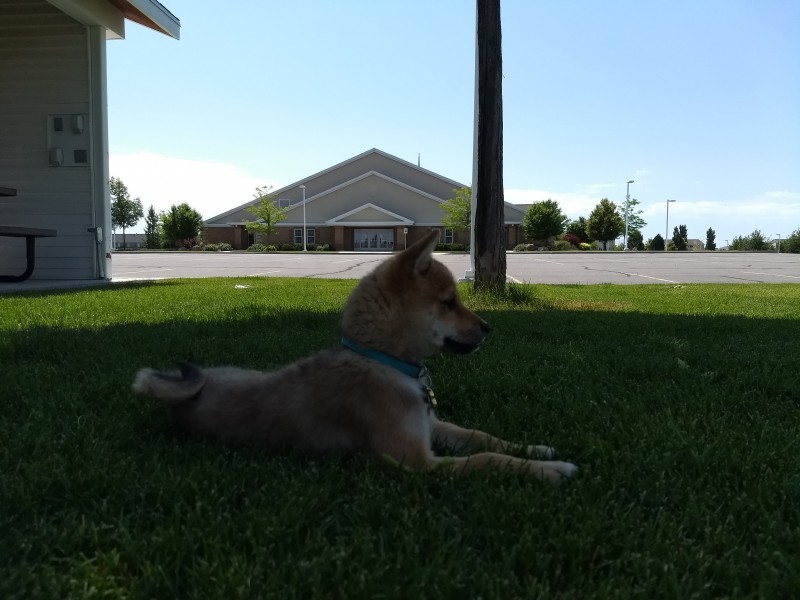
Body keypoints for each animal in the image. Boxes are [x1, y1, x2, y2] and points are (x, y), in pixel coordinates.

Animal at [132, 230, 577, 483]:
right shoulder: (417, 461)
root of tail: (183, 398)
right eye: (450, 302)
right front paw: (549, 471)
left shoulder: (432, 427)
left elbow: (482, 438)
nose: (488, 328)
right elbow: (487, 460)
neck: (383, 361)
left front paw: (534, 450)